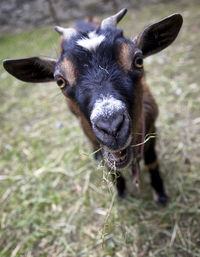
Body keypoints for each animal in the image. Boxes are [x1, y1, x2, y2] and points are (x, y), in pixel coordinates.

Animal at [2, 9, 183, 205]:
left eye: (139, 60)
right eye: (60, 81)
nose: (111, 127)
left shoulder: (151, 125)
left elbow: (152, 161)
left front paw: (161, 195)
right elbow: (110, 166)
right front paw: (121, 192)